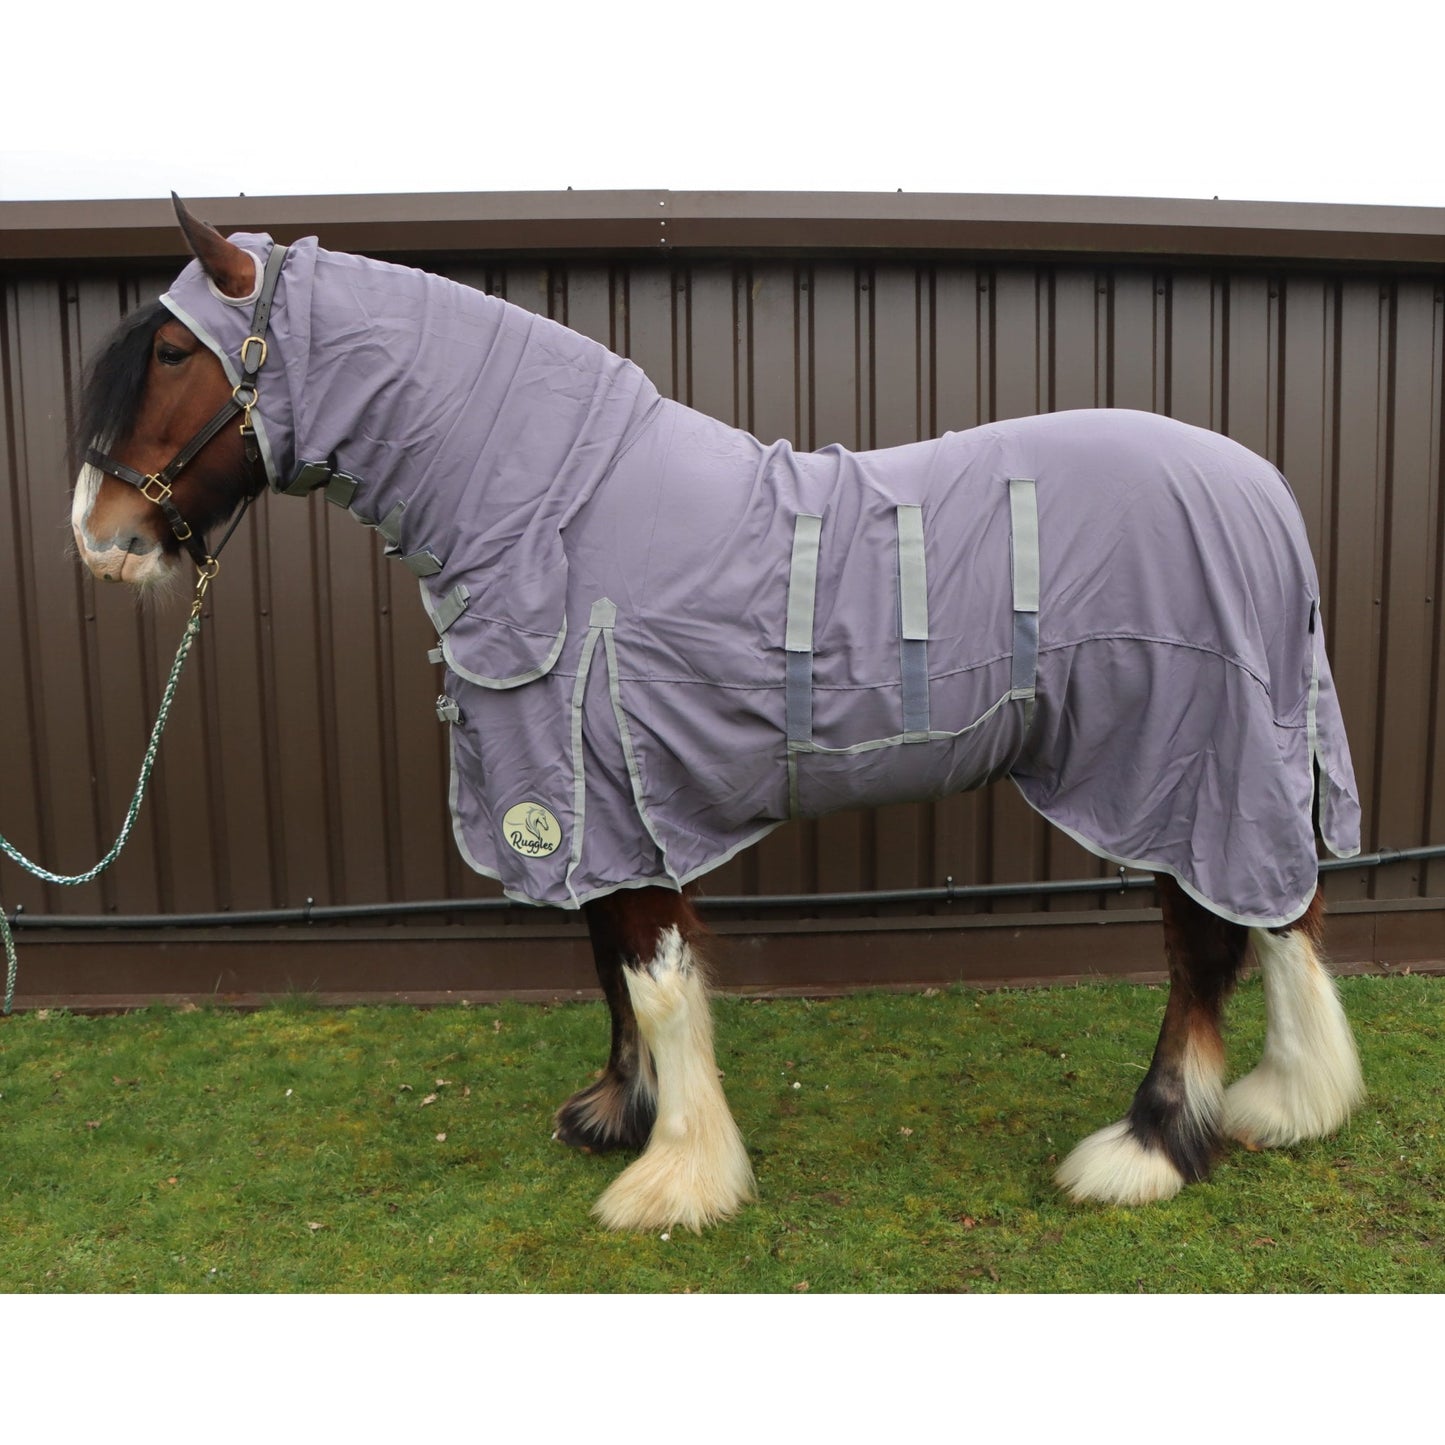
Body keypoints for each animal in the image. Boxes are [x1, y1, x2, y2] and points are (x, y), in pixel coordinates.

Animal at [66, 195, 1366, 1231]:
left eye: (173, 351)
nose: (99, 539)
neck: (558, 513)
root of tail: (1263, 493)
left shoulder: (611, 792)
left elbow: (649, 971)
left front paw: (674, 1176)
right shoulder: (590, 804)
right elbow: (606, 961)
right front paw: (617, 1113)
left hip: (1175, 766)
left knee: (1205, 942)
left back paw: (1147, 1146)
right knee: (1279, 913)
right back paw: (1289, 1102)